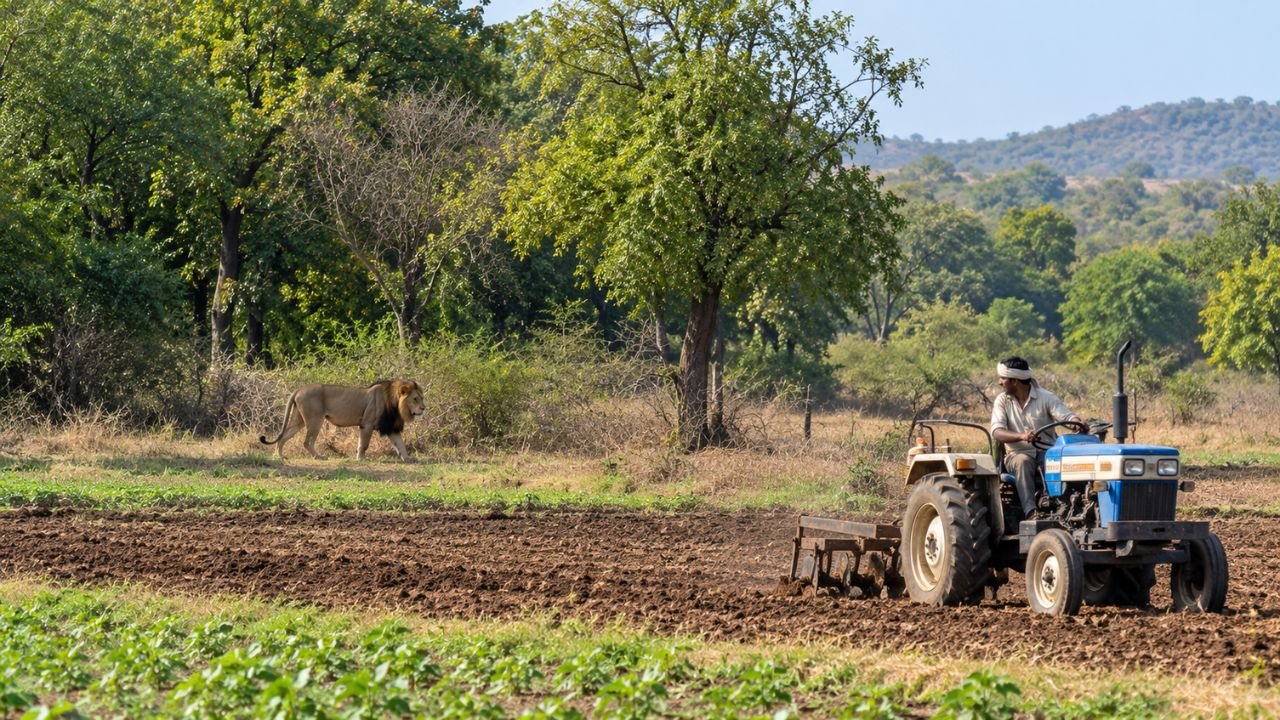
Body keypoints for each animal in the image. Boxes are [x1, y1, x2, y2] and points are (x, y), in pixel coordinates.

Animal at [259, 379, 426, 461]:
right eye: (415, 399)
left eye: (421, 398)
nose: (423, 408)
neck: (396, 403)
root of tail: (299, 389)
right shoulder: (367, 424)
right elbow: (363, 444)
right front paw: (360, 459)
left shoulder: (391, 427)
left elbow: (400, 444)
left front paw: (408, 458)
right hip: (315, 419)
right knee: (307, 442)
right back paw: (320, 457)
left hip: (298, 420)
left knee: (284, 436)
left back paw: (279, 456)